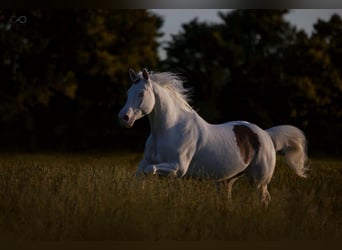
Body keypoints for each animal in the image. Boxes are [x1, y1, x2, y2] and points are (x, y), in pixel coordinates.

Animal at [119, 68, 308, 205]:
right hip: (227, 180)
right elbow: (139, 174)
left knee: (264, 198)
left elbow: (149, 170)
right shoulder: (147, 162)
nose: (124, 118)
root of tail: (266, 135)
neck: (167, 130)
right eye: (127, 92)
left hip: (259, 181)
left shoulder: (178, 168)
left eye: (141, 93)